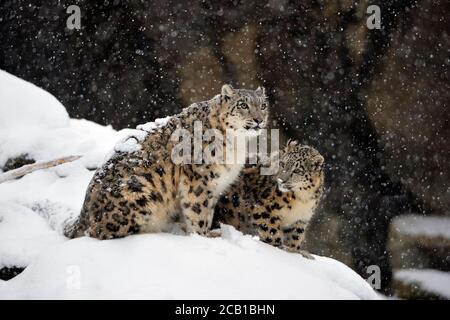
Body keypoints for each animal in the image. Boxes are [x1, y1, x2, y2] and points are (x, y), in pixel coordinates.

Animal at [65, 85, 268, 240]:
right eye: (243, 105)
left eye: (263, 105)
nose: (259, 119)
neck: (237, 143)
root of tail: (84, 212)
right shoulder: (200, 181)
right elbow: (198, 213)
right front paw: (205, 237)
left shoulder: (215, 186)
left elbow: (207, 211)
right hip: (138, 192)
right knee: (100, 233)